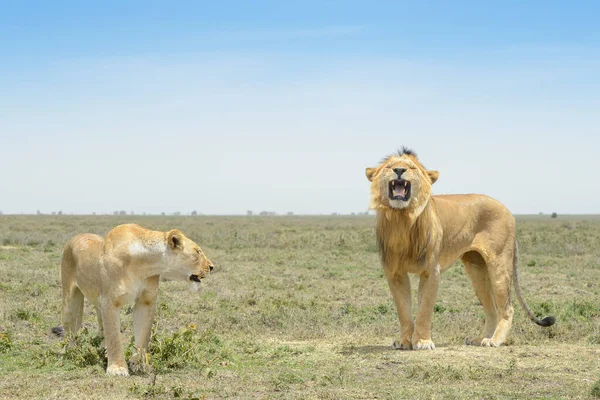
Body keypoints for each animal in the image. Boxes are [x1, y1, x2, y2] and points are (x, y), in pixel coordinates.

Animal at [52, 223, 213, 376]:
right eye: (197, 252)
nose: (211, 267)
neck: (144, 264)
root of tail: (75, 237)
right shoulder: (110, 302)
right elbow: (114, 336)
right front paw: (117, 368)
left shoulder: (146, 301)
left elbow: (143, 336)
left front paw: (139, 365)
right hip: (70, 301)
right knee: (70, 330)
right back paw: (72, 353)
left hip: (98, 304)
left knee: (101, 327)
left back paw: (103, 352)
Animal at [366, 148, 556, 350]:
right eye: (389, 166)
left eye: (411, 167)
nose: (399, 170)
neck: (402, 219)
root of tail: (509, 212)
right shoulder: (395, 274)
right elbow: (404, 311)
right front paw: (404, 341)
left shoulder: (431, 272)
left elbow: (424, 310)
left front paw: (423, 342)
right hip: (476, 270)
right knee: (492, 309)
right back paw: (480, 339)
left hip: (499, 265)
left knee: (507, 308)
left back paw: (494, 340)